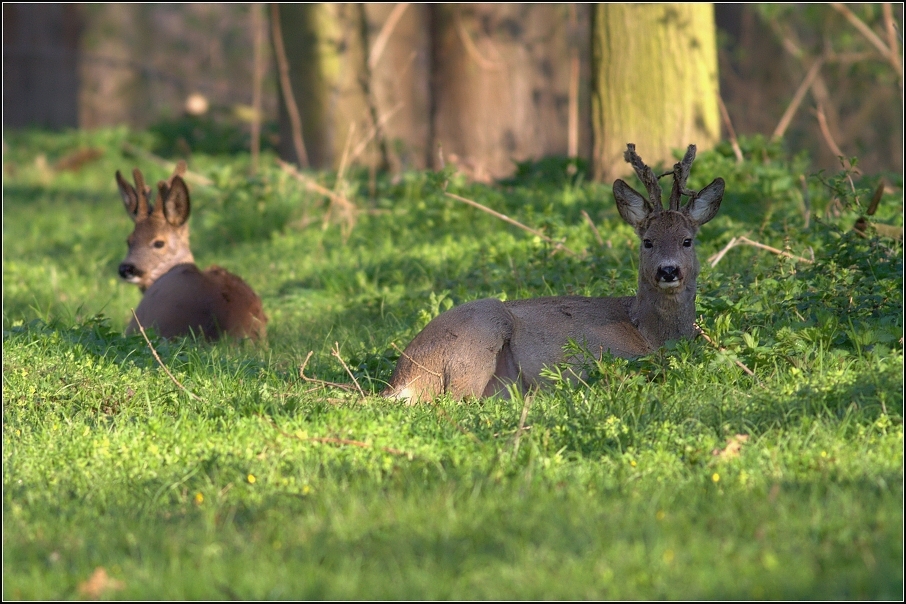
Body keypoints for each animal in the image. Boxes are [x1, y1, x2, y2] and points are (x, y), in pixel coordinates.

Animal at [384, 144, 724, 404]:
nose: (668, 270)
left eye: (687, 240)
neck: (650, 333)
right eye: (648, 241)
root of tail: (402, 379)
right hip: (479, 334)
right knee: (456, 400)